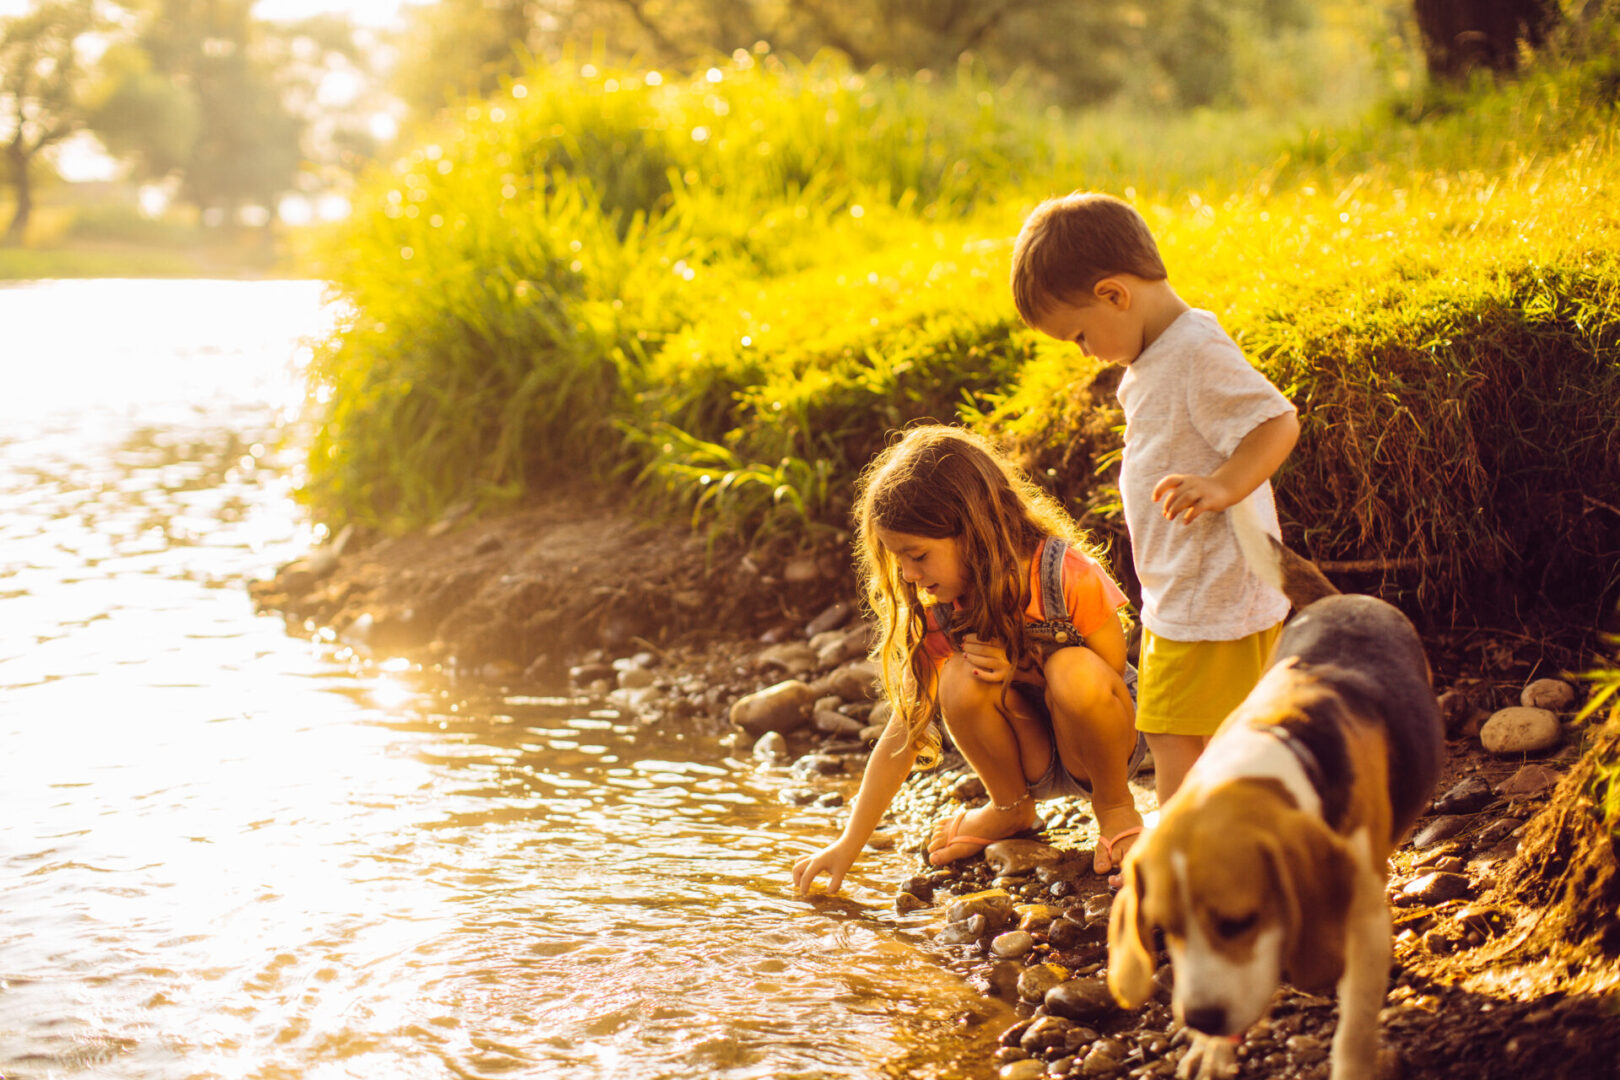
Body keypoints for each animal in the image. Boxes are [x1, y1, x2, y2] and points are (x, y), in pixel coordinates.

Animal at [1114, 531, 1445, 1080]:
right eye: (1164, 929)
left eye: (1238, 922)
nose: (1201, 1019)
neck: (1275, 748)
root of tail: (1340, 599)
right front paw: (1214, 1050)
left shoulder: (1363, 923)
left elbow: (1354, 1028)